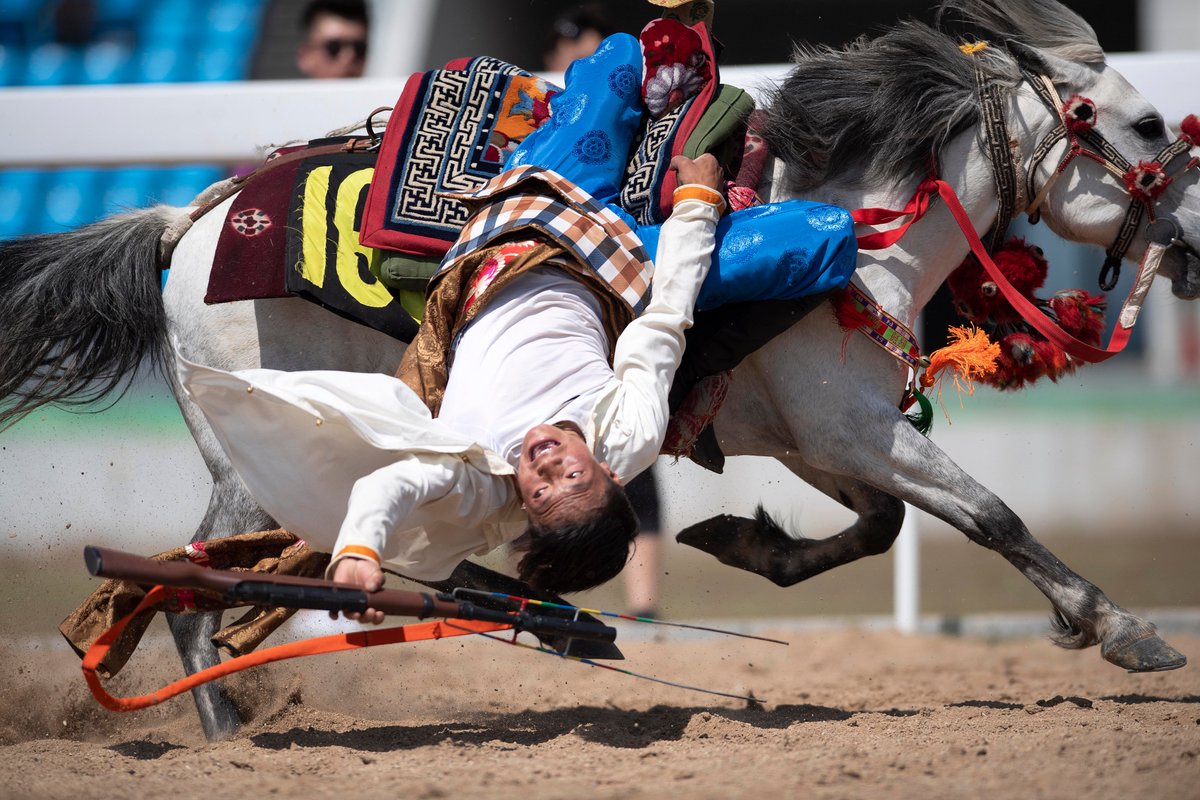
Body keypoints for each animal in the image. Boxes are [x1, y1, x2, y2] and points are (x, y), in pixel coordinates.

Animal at [0, 0, 1195, 743]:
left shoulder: (818, 432)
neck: (857, 226)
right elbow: (989, 514)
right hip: (254, 450)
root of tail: (188, 220)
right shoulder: (850, 425)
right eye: (1146, 124)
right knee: (193, 587)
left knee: (197, 579)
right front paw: (1119, 628)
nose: (1192, 241)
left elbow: (878, 527)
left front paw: (742, 540)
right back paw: (227, 730)